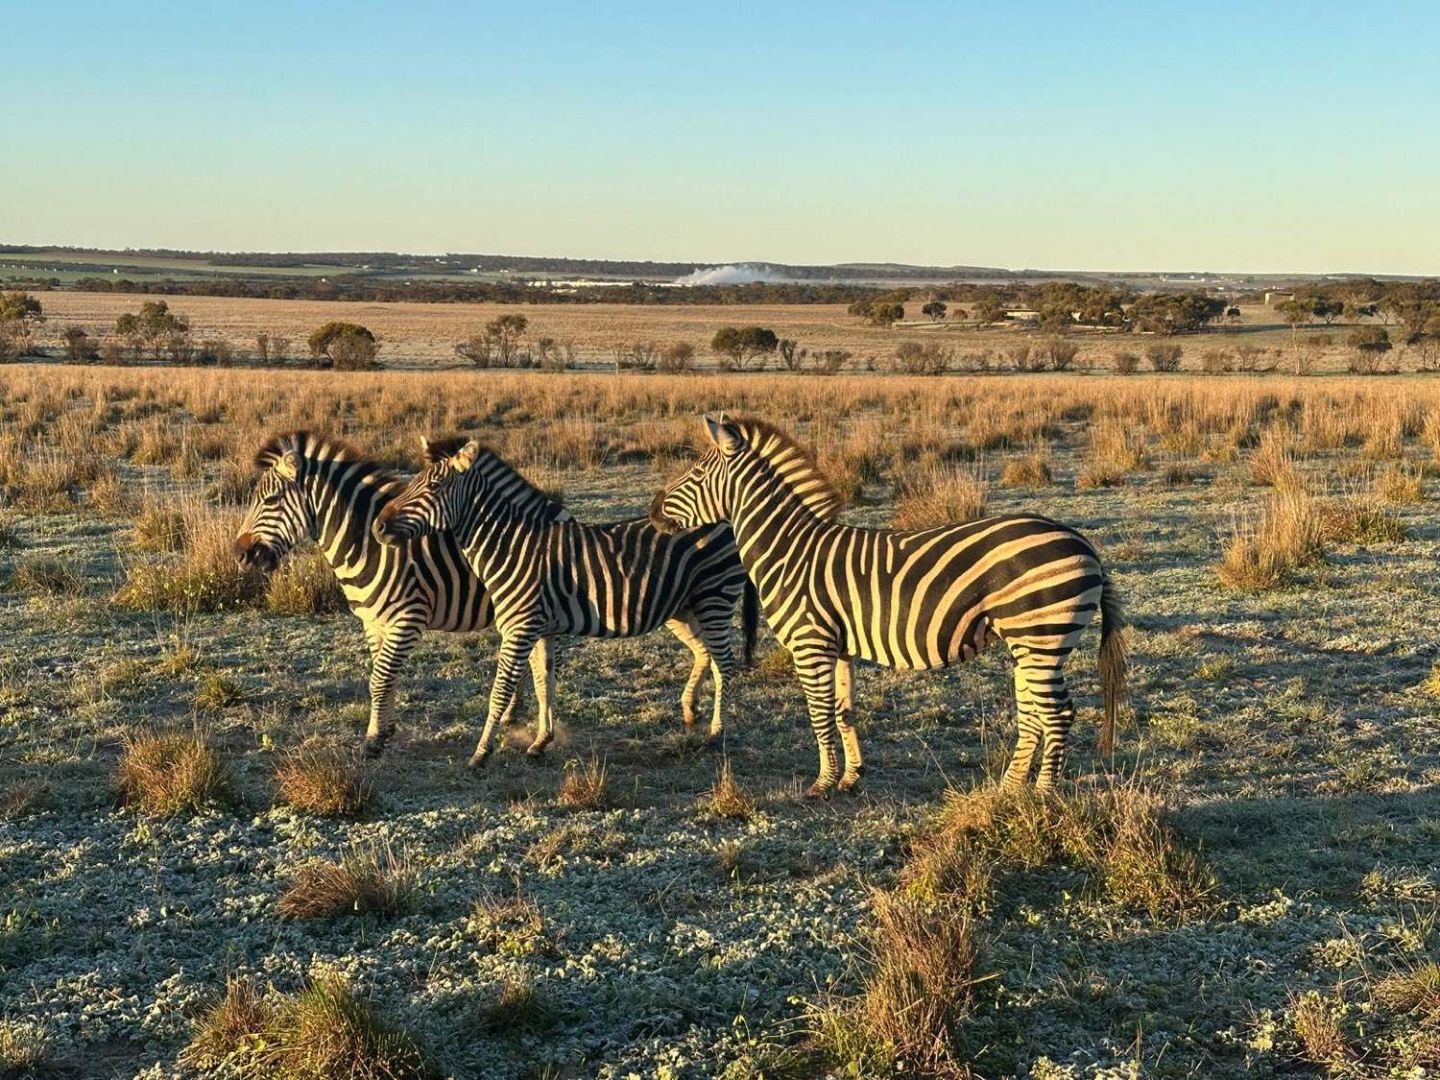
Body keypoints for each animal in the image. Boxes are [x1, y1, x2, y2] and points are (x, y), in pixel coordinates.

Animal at [234, 431, 754, 759]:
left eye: (269, 500)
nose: (241, 554)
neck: (366, 544)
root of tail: (727, 520)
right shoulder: (374, 622)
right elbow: (382, 680)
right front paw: (383, 730)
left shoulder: (407, 617)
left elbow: (383, 681)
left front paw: (376, 743)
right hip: (680, 608)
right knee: (704, 653)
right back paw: (691, 712)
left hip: (709, 601)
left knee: (721, 660)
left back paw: (716, 731)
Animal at [650, 414, 1128, 797]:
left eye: (696, 472)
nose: (653, 510)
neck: (789, 550)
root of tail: (1084, 543)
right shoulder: (839, 646)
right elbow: (843, 712)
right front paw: (850, 777)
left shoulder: (810, 643)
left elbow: (819, 715)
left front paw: (821, 784)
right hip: (1028, 643)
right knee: (1033, 716)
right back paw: (1009, 789)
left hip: (1041, 635)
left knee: (1057, 713)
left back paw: (1043, 795)